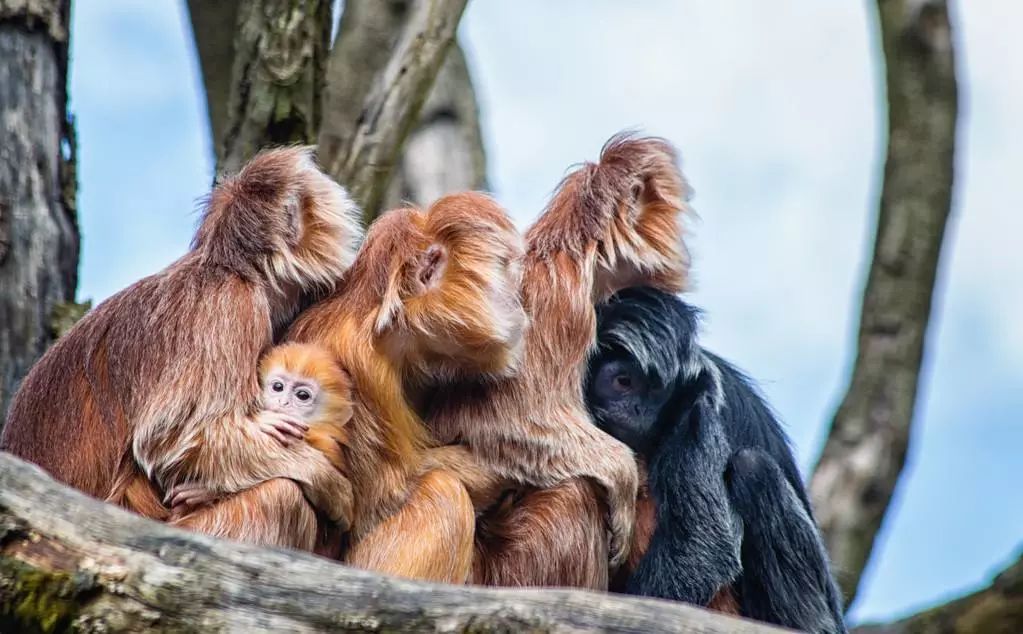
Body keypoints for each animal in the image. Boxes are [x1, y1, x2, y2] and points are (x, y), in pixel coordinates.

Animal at [288, 190, 527, 580]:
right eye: (504, 270)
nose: (518, 305)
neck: (385, 329)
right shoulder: (358, 366)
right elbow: (383, 499)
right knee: (443, 493)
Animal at [585, 288, 847, 634]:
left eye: (656, 391)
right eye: (623, 382)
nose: (637, 410)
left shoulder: (696, 410)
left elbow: (703, 546)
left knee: (753, 467)